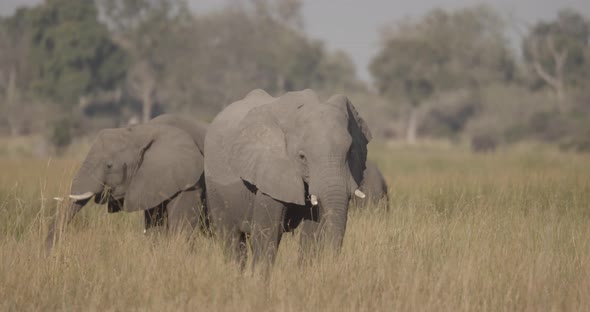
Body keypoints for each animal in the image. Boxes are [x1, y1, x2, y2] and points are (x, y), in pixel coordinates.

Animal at [45, 114, 208, 251]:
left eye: (109, 166)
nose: (49, 254)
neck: (141, 132)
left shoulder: (190, 181)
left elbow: (181, 229)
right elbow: (155, 228)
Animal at [206, 89, 372, 270]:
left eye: (351, 152)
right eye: (302, 157)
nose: (334, 265)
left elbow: (311, 233)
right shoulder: (270, 171)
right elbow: (267, 232)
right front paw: (258, 278)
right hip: (214, 188)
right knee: (231, 238)